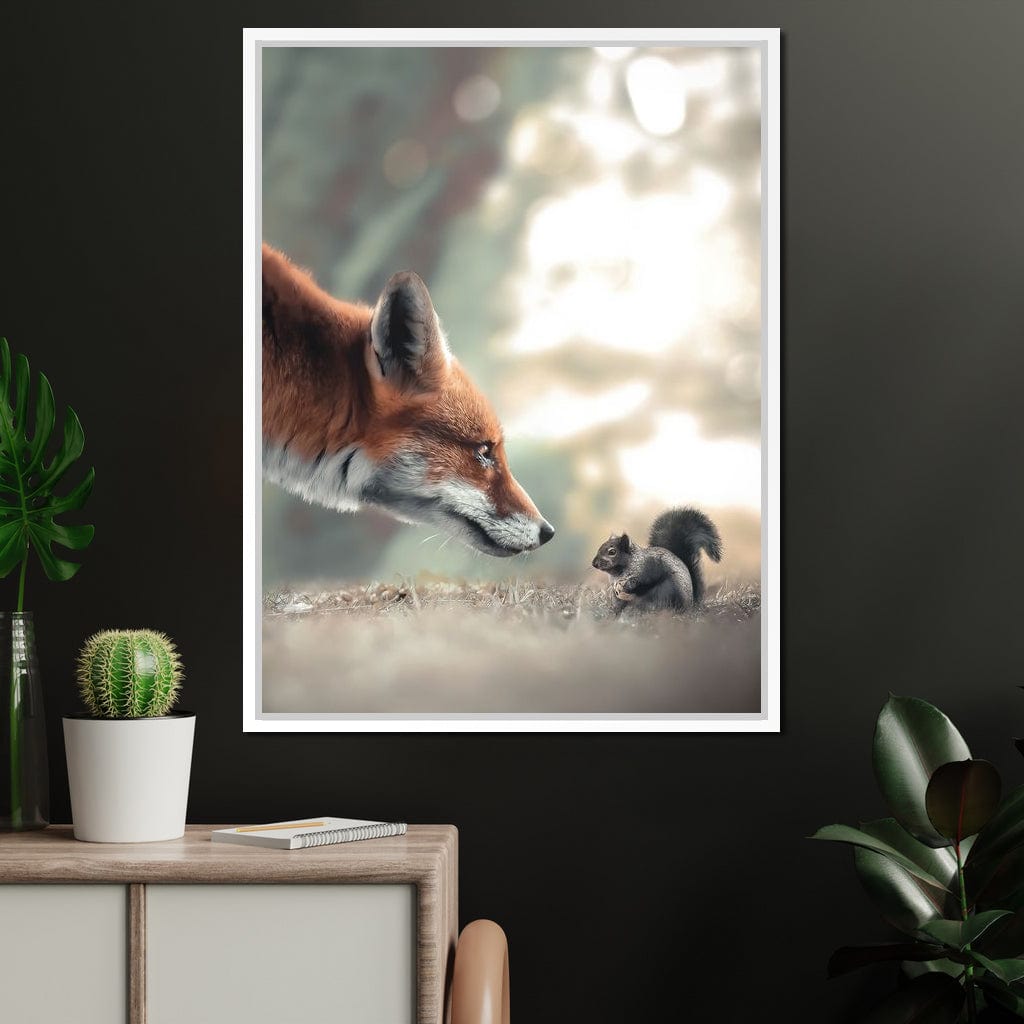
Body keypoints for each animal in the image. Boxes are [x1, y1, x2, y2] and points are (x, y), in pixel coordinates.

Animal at [590, 507, 723, 615]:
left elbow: (645, 580)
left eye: (612, 552)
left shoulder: (649, 567)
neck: (619, 573)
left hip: (665, 592)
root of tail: (690, 606)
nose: (594, 563)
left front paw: (629, 585)